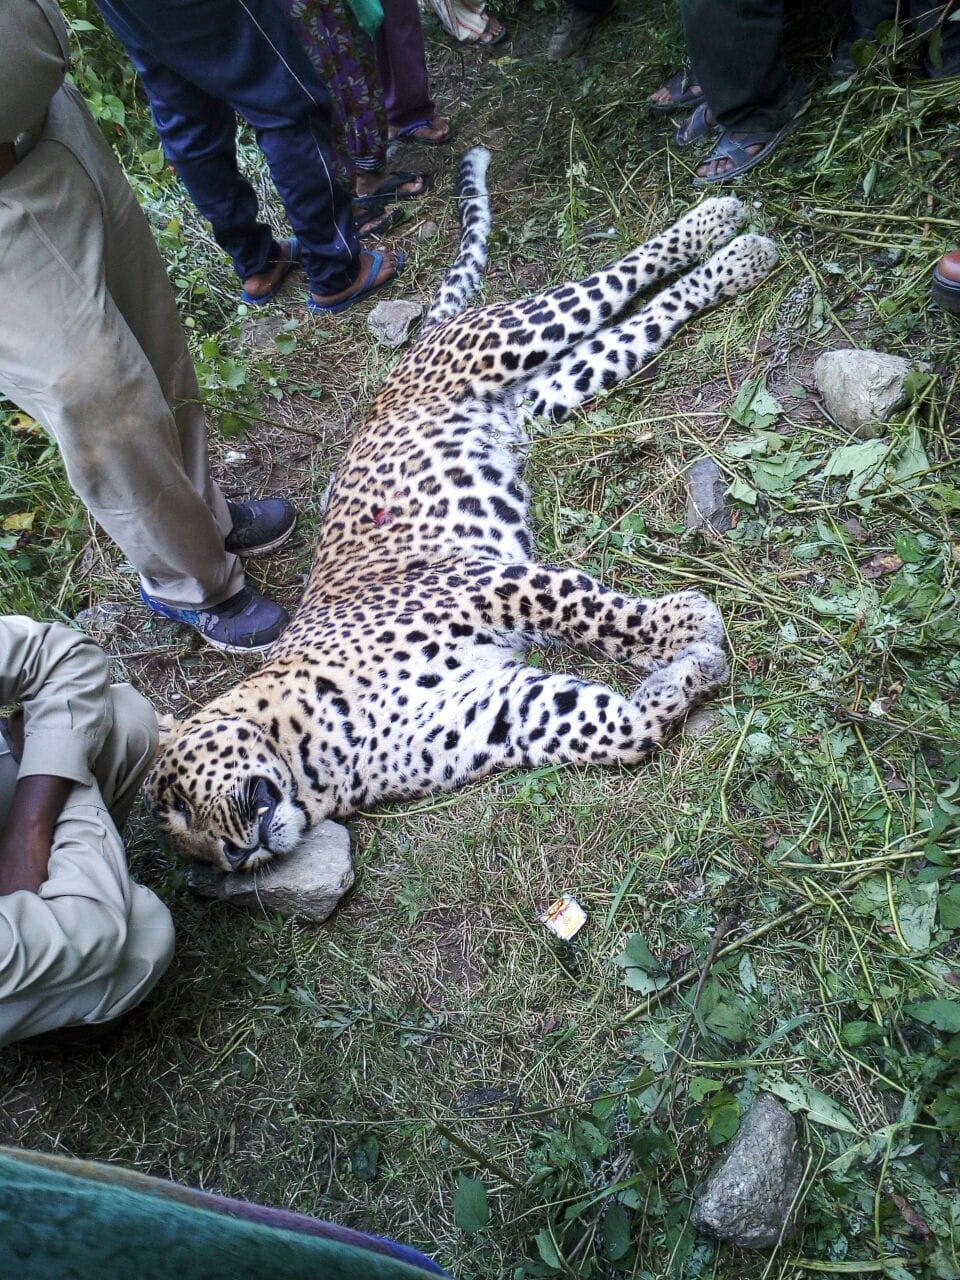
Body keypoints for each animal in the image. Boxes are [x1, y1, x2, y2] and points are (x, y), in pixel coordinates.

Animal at [147, 148, 778, 873]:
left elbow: (585, 607)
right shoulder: (493, 713)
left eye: (183, 802)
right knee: (636, 322)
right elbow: (611, 727)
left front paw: (686, 621)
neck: (310, 760)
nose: (230, 853)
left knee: (611, 280)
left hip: (505, 337)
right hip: (550, 393)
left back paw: (725, 224)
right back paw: (738, 260)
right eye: (194, 853)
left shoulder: (475, 583)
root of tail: (409, 357)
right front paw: (683, 673)